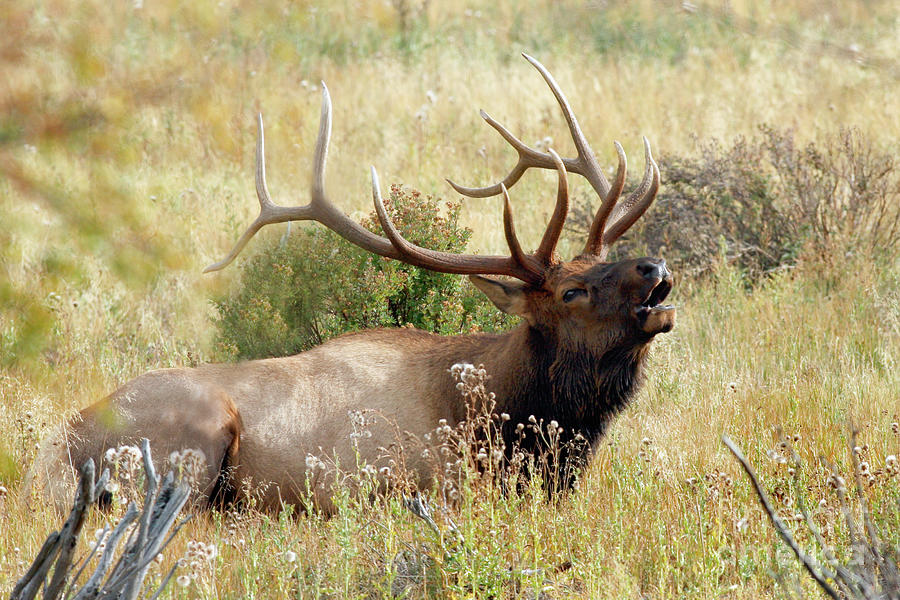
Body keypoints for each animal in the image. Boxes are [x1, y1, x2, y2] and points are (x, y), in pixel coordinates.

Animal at [28, 56, 676, 512]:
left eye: (611, 260)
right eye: (571, 292)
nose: (654, 269)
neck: (505, 417)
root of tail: (58, 449)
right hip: (191, 437)